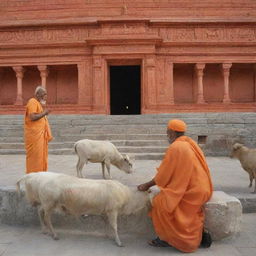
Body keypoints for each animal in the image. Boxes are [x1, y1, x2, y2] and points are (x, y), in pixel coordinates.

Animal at [16, 172, 150, 246]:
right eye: (150, 194)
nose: (151, 205)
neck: (129, 197)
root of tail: (35, 176)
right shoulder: (112, 210)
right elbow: (114, 226)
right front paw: (118, 241)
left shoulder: (105, 211)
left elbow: (106, 224)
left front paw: (107, 235)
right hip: (49, 203)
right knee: (47, 217)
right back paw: (54, 234)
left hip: (46, 203)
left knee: (40, 211)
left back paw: (44, 230)